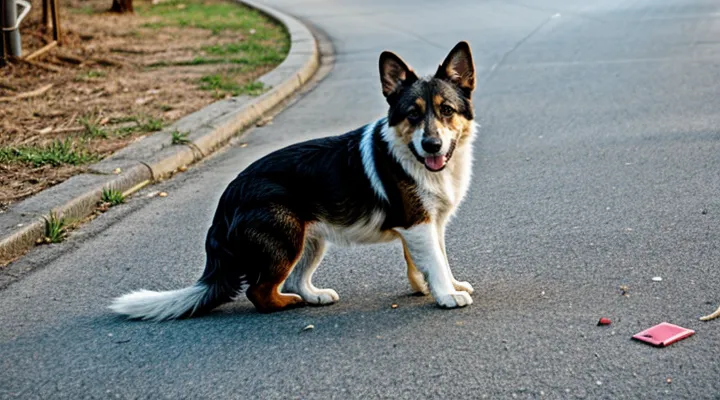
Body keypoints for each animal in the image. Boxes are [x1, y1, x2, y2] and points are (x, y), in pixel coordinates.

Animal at [111, 41, 478, 322]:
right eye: (412, 114)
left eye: (446, 110)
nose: (432, 145)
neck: (412, 155)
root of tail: (227, 200)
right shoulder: (418, 225)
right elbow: (435, 262)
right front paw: (446, 295)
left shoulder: (430, 226)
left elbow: (437, 260)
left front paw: (444, 286)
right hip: (287, 236)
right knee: (260, 291)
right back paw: (290, 304)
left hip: (310, 240)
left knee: (294, 281)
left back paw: (314, 296)